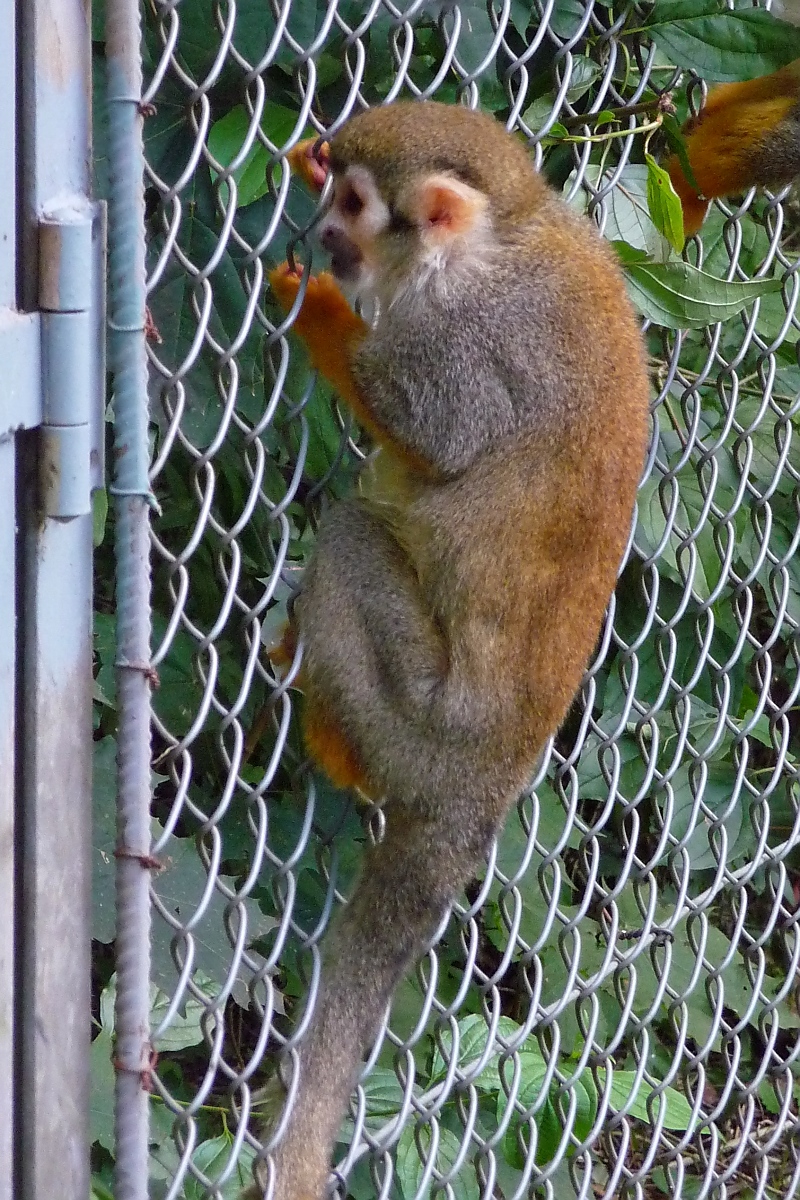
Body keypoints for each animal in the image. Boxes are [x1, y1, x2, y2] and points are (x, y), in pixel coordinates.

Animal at [256, 105, 652, 1200]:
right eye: (335, 187)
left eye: (357, 208)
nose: (325, 232)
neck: (504, 235)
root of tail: (481, 786)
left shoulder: (464, 339)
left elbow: (440, 434)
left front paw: (320, 313)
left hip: (418, 718)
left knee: (353, 534)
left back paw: (330, 730)